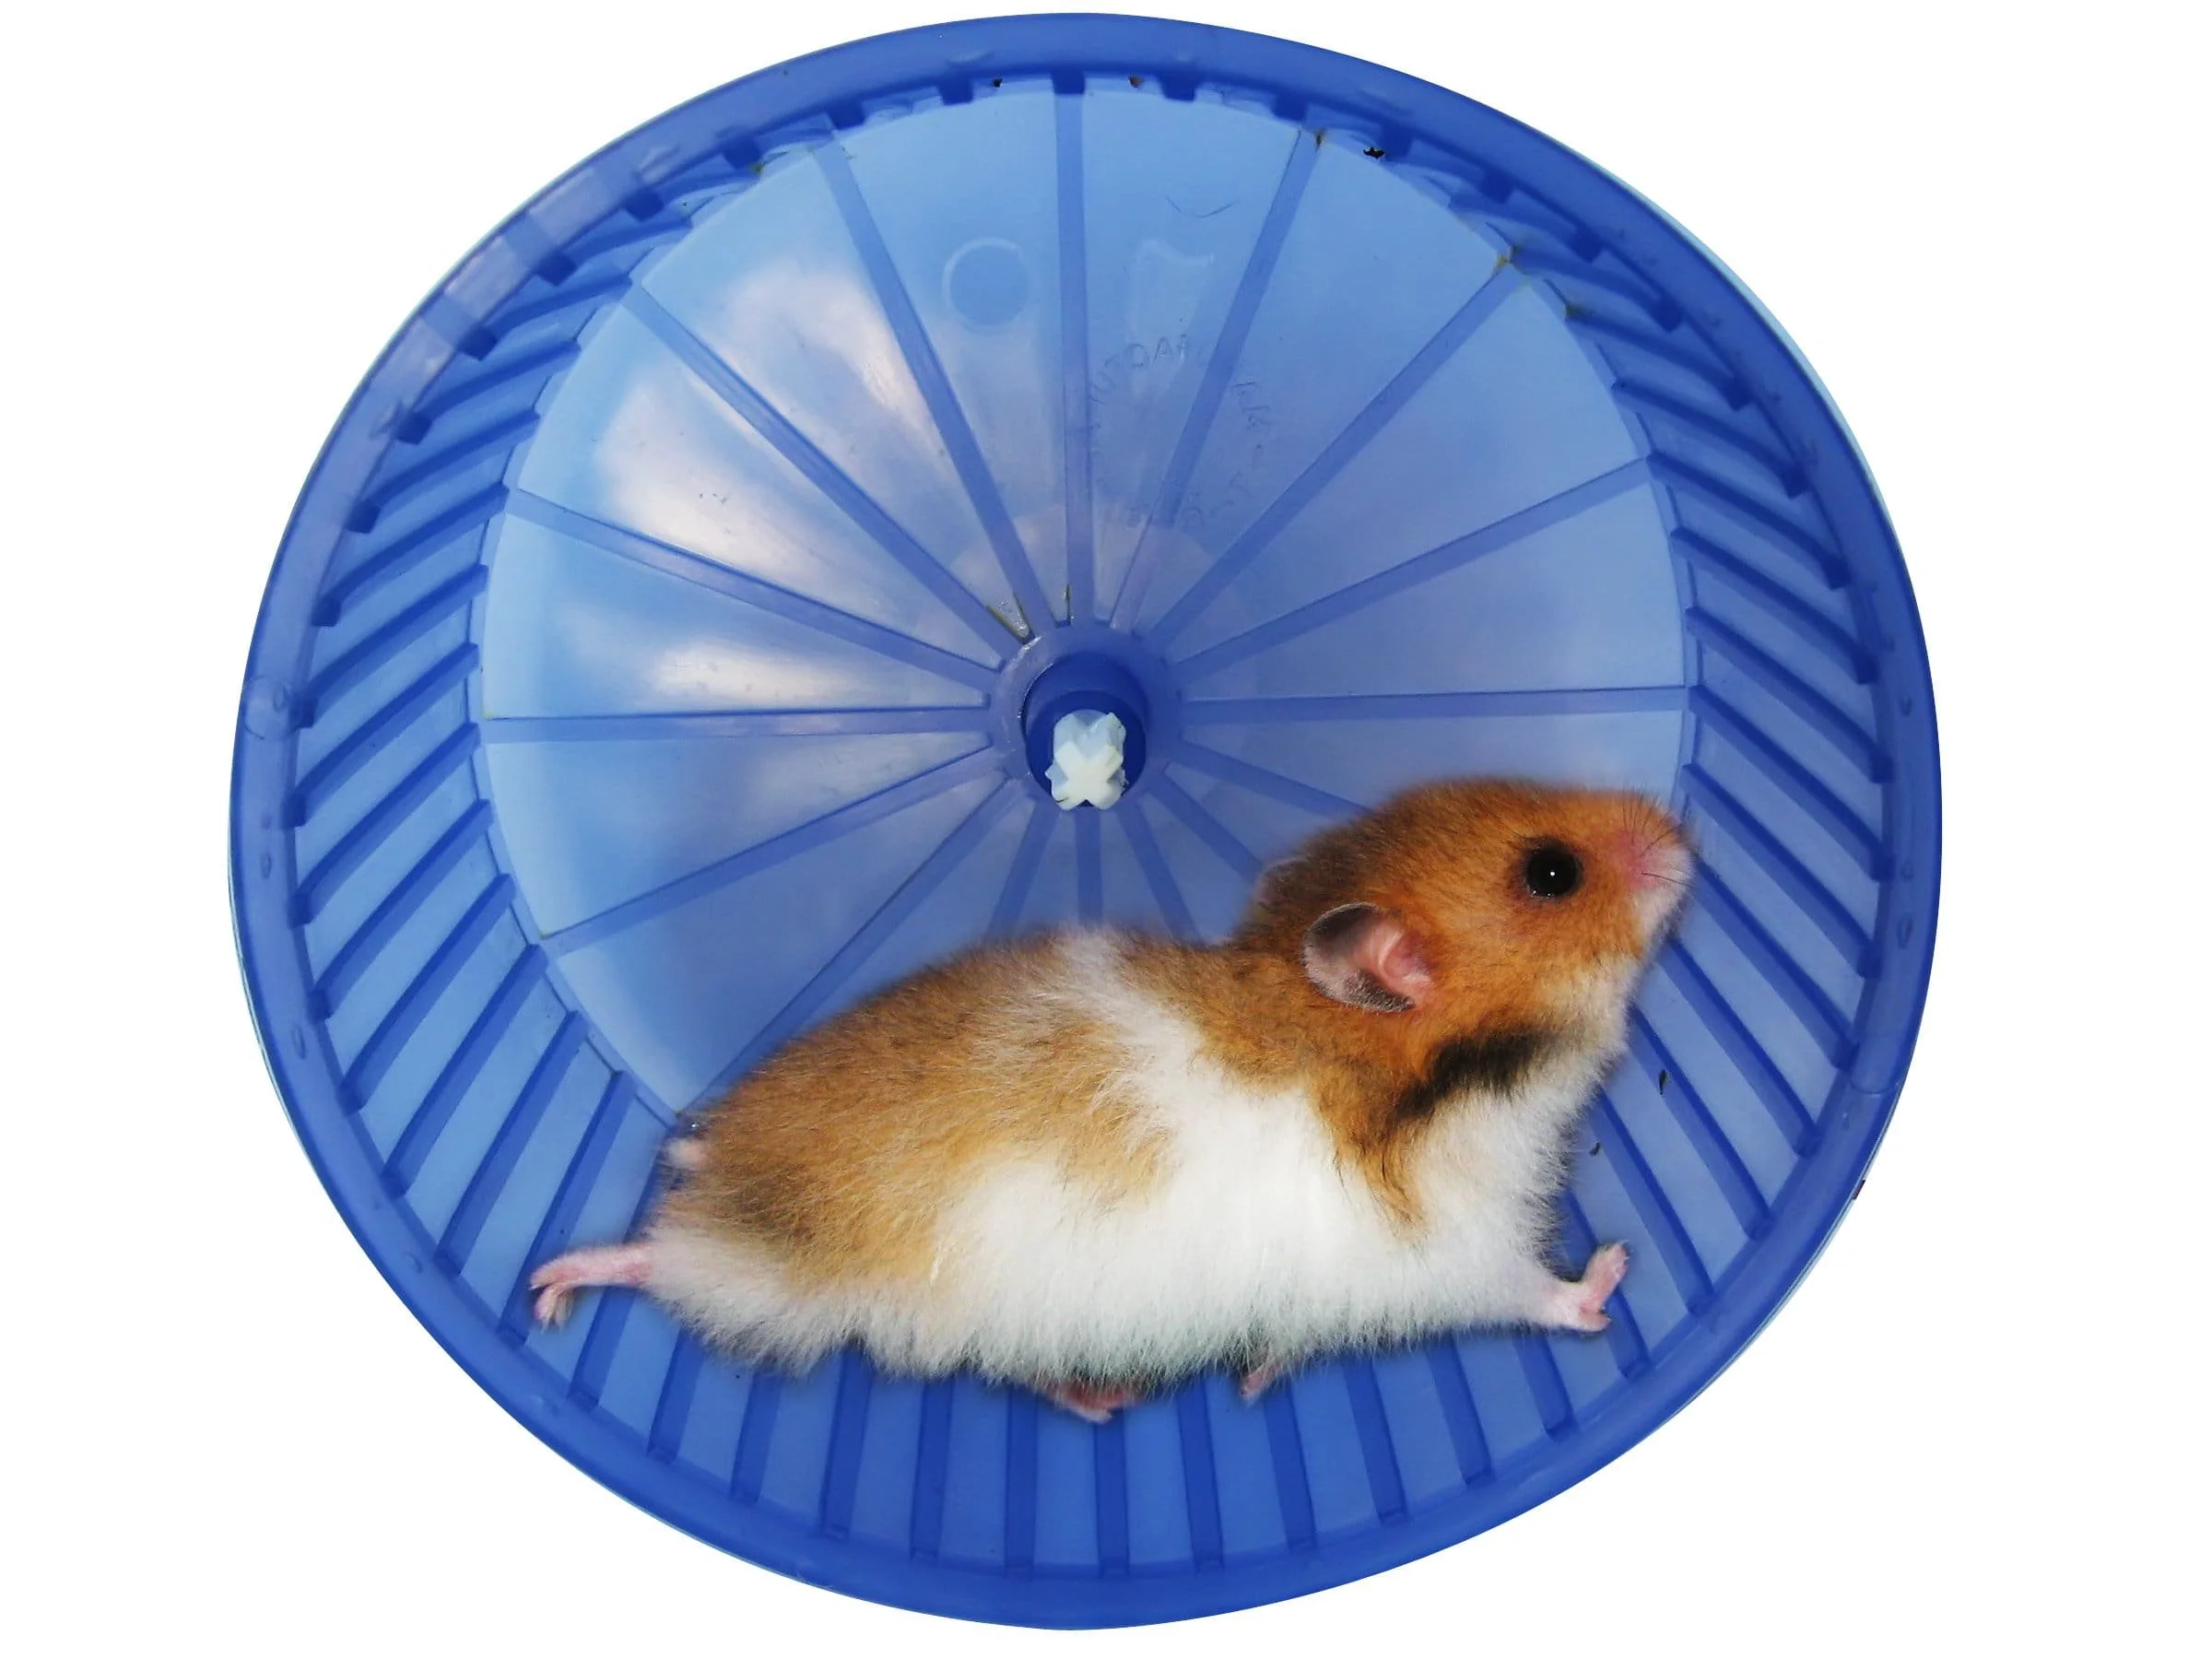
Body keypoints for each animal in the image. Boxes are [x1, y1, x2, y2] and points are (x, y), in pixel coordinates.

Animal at [532, 779, 1692, 1422]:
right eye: (1552, 874)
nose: (1684, 836)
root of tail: (718, 1151)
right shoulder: (1459, 1251)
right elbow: (1540, 1295)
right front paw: (1616, 1272)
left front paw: (1255, 1384)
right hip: (785, 1273)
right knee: (665, 1262)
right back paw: (553, 1291)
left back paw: (1105, 1402)